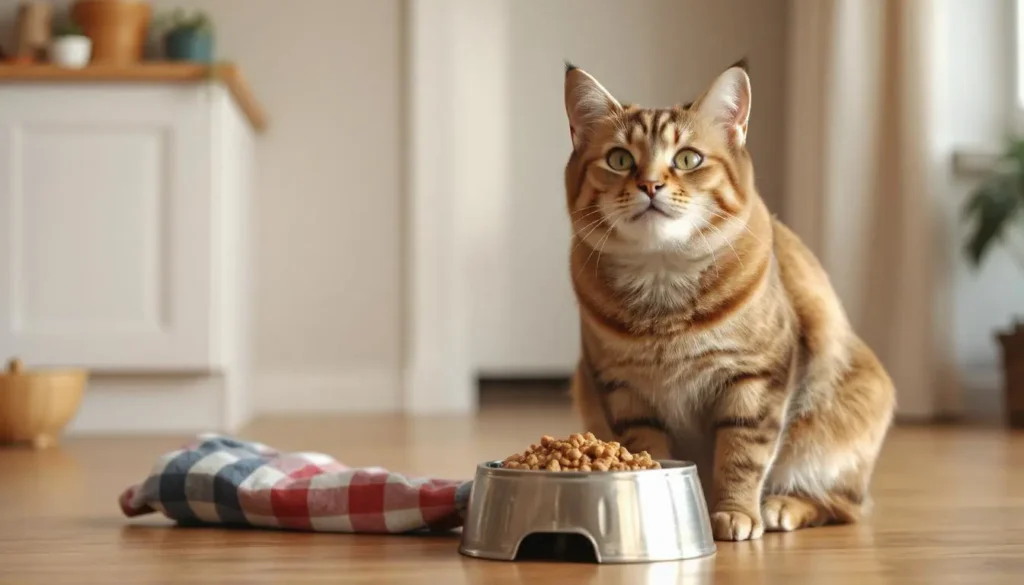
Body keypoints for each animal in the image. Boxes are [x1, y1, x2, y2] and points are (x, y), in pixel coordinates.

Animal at [561, 61, 897, 540]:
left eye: (688, 159)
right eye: (619, 159)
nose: (650, 184)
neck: (662, 288)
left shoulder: (756, 378)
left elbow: (743, 453)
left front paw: (735, 511)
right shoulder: (623, 389)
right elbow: (648, 448)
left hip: (836, 429)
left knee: (841, 505)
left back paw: (781, 507)